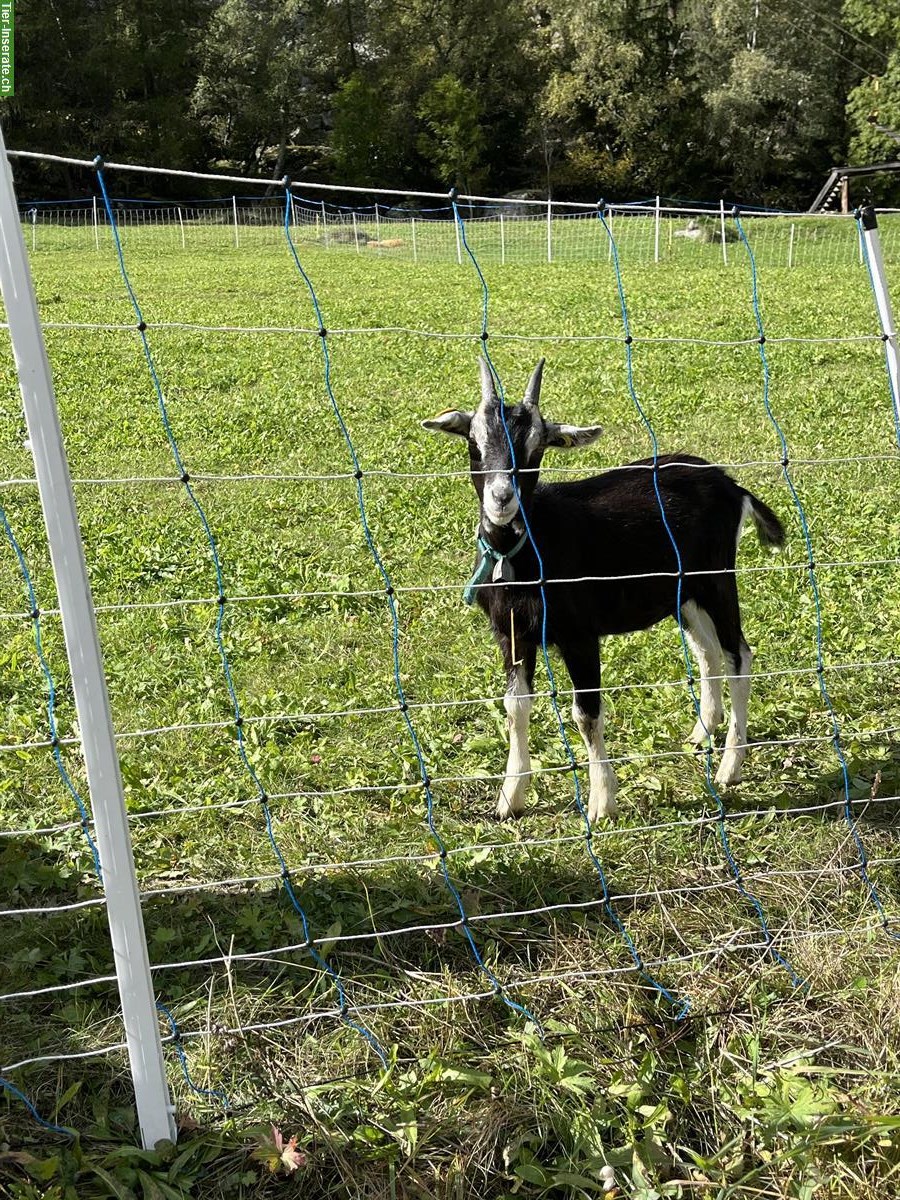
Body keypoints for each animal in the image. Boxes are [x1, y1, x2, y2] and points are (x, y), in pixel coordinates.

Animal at [422, 357, 782, 825]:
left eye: (537, 448)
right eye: (474, 441)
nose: (502, 498)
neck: (526, 555)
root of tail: (732, 487)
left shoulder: (580, 635)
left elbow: (587, 714)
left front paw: (601, 803)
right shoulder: (512, 634)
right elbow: (515, 708)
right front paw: (509, 799)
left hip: (717, 578)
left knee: (739, 654)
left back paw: (729, 767)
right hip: (683, 594)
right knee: (707, 652)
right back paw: (701, 733)